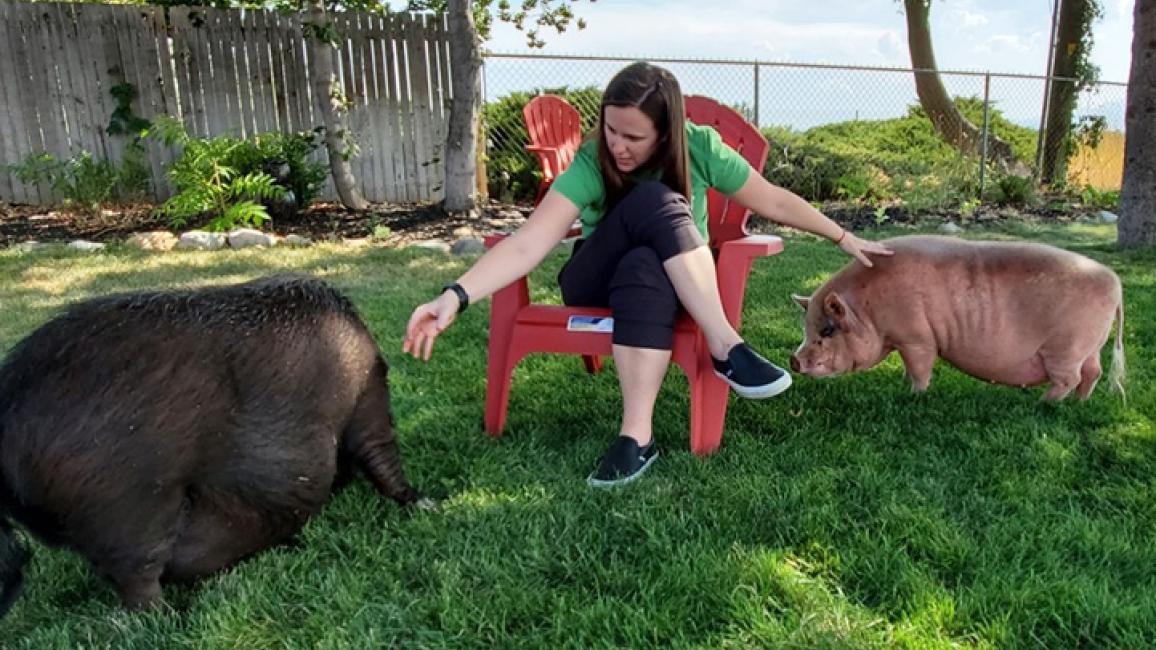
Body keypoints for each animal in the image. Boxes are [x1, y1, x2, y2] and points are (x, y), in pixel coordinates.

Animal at [0, 274, 430, 617]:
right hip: (122, 507)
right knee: (137, 580)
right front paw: (423, 502)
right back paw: (169, 618)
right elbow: (381, 455)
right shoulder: (367, 402)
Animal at [789, 235, 1124, 400]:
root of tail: (1116, 283)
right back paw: (1079, 403)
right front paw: (904, 382)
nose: (794, 359)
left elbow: (920, 367)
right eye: (806, 328)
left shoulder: (916, 336)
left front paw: (915, 394)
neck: (869, 308)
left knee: (1071, 378)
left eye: (828, 330)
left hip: (1067, 347)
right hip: (1091, 346)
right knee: (1093, 373)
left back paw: (1044, 404)